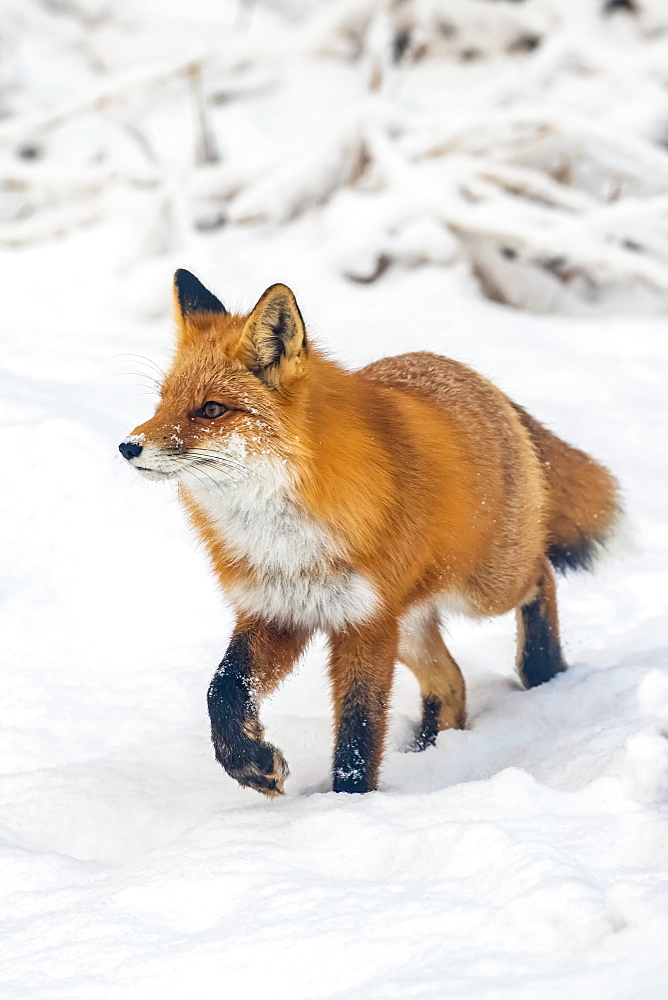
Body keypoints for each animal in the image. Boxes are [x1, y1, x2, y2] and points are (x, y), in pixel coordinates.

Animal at [118, 272, 620, 796]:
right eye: (163, 401)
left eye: (212, 409)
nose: (128, 447)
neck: (286, 542)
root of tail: (476, 378)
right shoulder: (275, 609)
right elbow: (223, 690)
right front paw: (251, 764)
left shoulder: (365, 622)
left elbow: (359, 727)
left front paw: (349, 801)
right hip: (411, 622)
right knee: (451, 681)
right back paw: (432, 750)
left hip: (480, 590)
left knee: (541, 573)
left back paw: (543, 669)